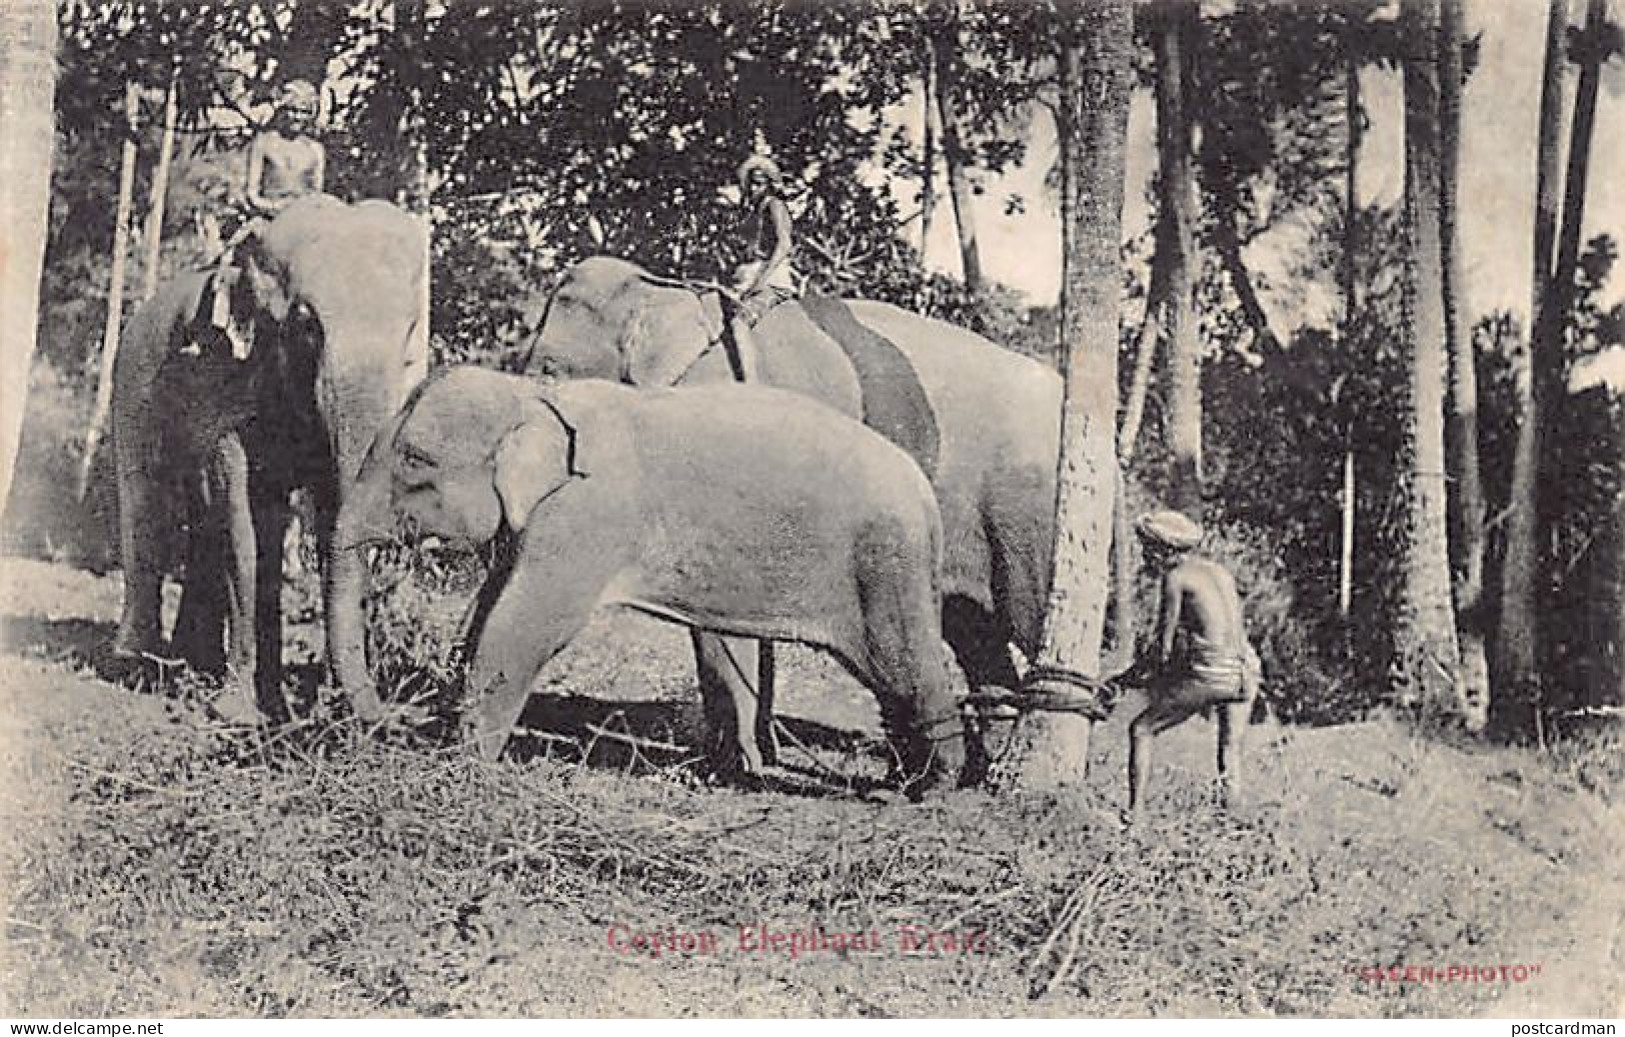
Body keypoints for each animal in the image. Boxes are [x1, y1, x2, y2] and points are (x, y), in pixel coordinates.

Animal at [110, 194, 428, 720]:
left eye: (409, 332)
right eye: (306, 325)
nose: (394, 716)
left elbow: (324, 517)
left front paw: (291, 708)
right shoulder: (221, 378)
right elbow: (242, 528)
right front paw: (236, 712)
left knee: (212, 522)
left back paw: (197, 669)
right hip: (132, 387)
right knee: (146, 502)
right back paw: (137, 668)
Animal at [332, 366, 966, 794]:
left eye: (415, 461)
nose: (400, 719)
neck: (535, 395)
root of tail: (925, 494)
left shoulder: (585, 515)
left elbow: (524, 624)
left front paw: (458, 767)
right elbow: (492, 603)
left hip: (884, 563)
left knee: (903, 665)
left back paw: (930, 789)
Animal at [524, 256, 1063, 777]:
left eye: (549, 368)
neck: (668, 292)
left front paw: (730, 770)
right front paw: (757, 759)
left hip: (1027, 514)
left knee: (1027, 617)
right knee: (974, 633)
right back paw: (982, 769)